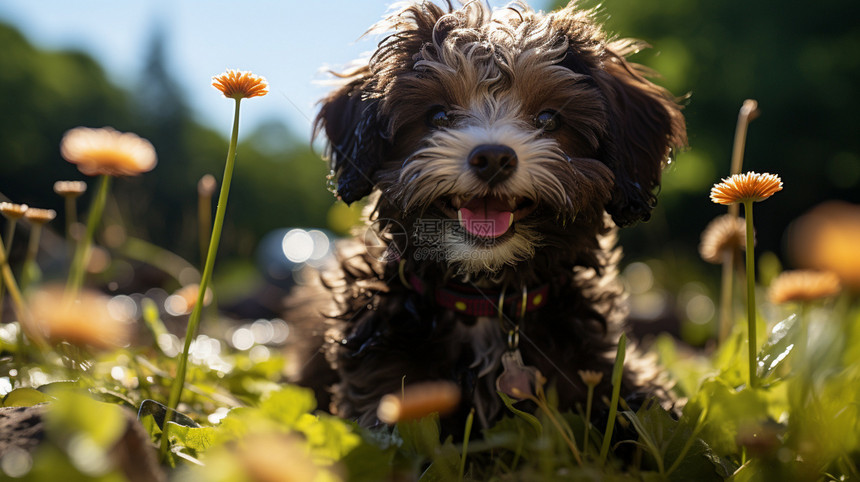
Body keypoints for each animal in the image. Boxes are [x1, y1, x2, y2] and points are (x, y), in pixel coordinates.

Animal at [292, 0, 688, 434]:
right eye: (438, 116)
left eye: (548, 119)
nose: (494, 157)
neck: (486, 301)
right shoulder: (383, 388)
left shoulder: (604, 370)